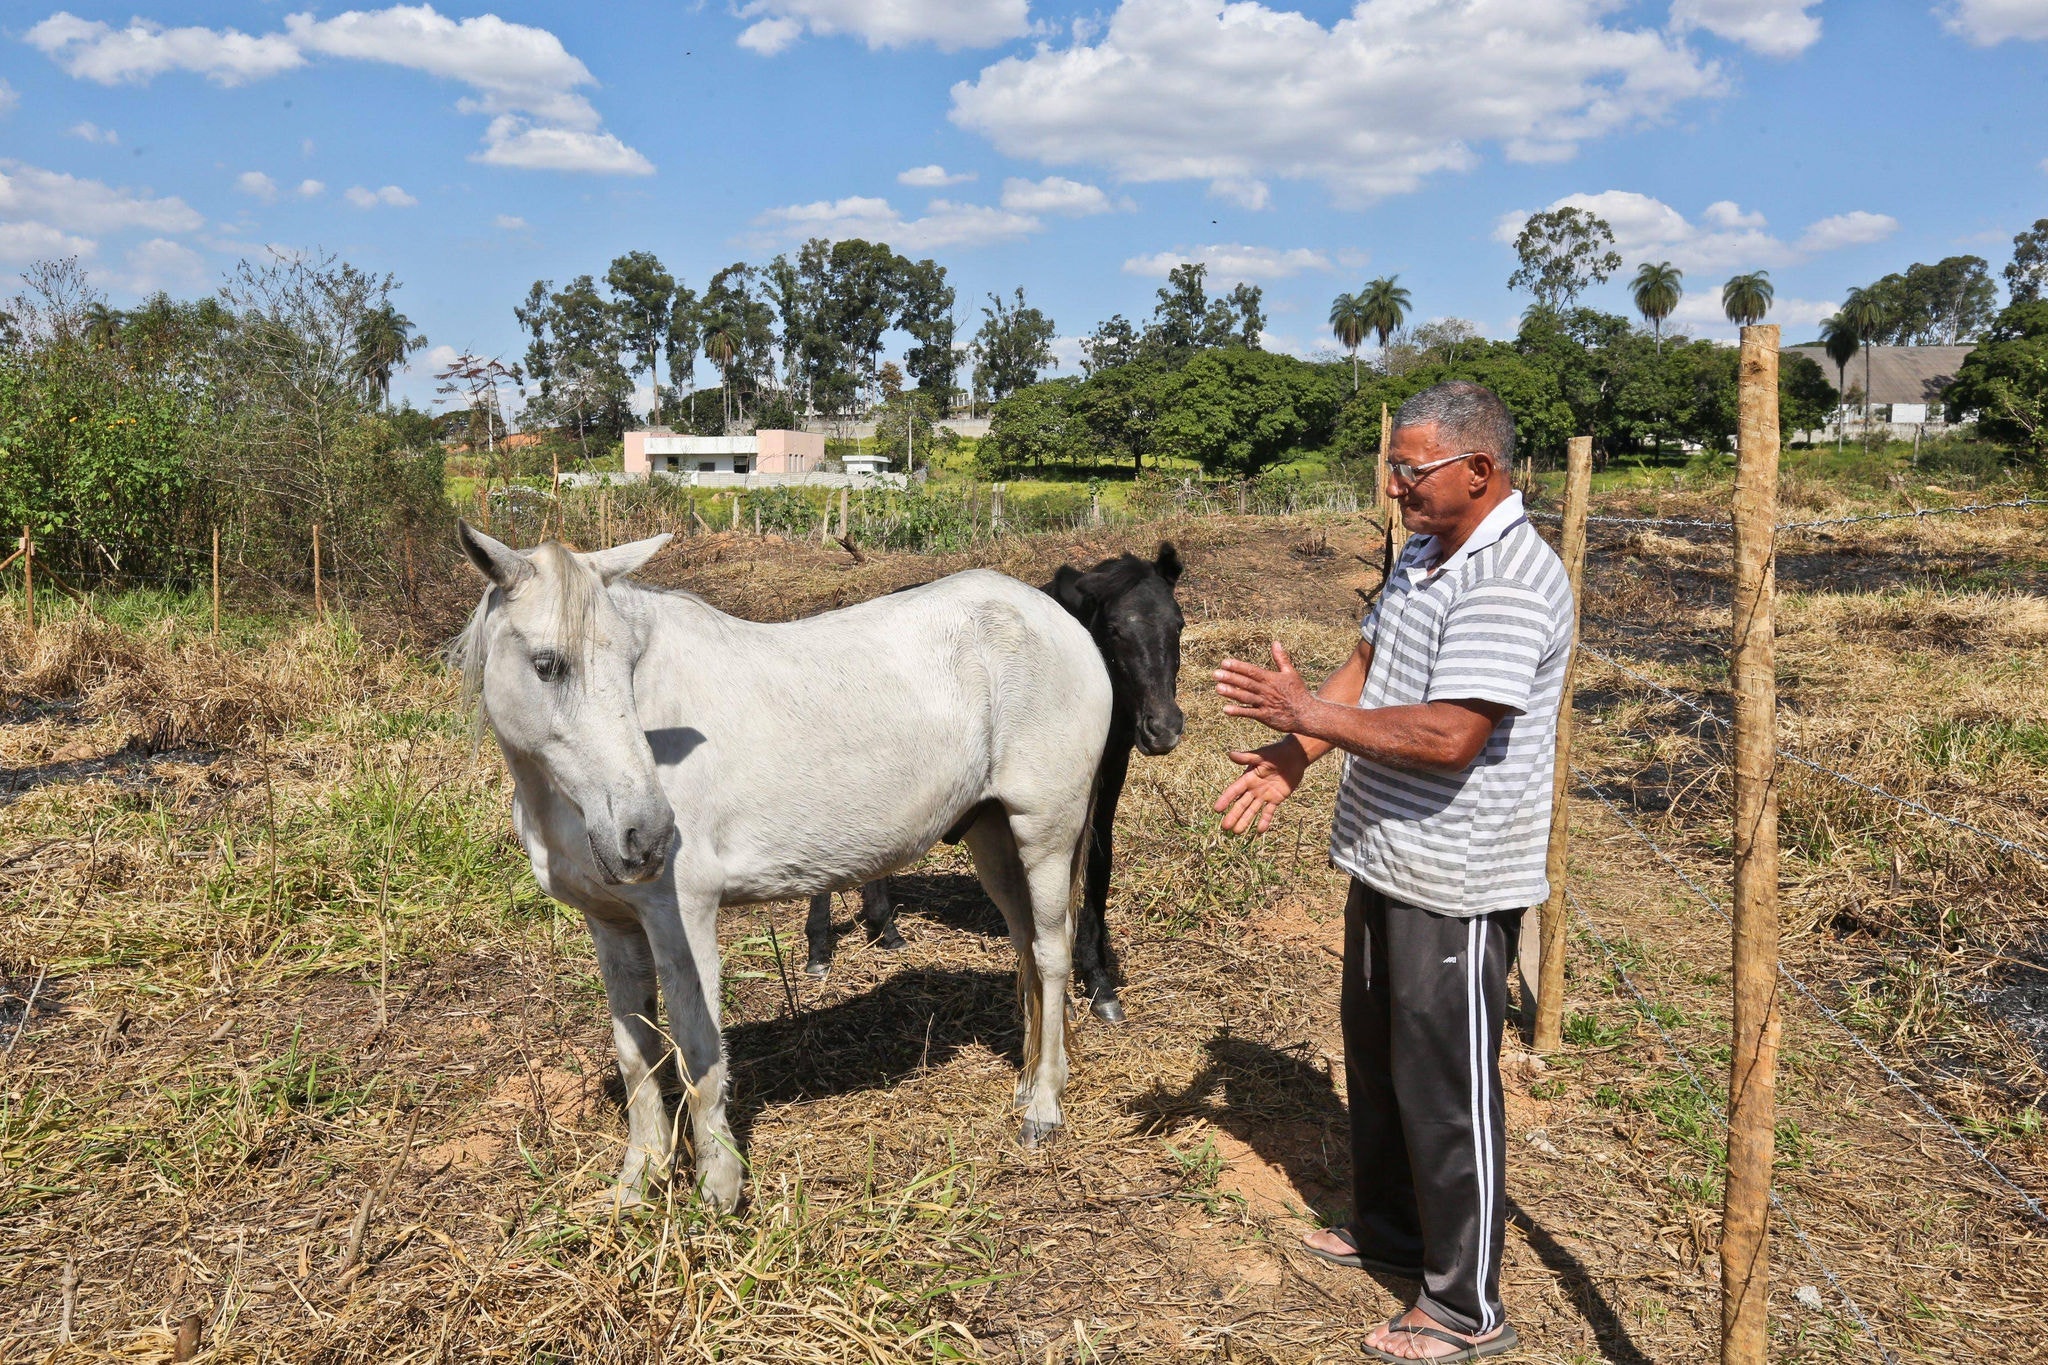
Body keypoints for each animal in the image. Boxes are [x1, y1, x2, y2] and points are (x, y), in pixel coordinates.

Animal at [456, 523, 1114, 1203]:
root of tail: (1059, 622)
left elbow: (698, 1048)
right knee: (1026, 947)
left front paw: (718, 1188)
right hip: (992, 836)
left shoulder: (684, 918)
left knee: (1051, 954)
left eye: (629, 664)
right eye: (547, 665)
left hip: (1045, 832)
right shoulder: (611, 924)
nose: (648, 834)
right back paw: (1029, 1081)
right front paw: (640, 1180)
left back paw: (1044, 1107)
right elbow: (637, 1051)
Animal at [798, 544, 1187, 1023]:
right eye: (1114, 629)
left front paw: (1099, 983)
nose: (1163, 728)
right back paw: (820, 951)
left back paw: (885, 930)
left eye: (1178, 623)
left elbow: (1098, 863)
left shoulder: (1107, 771)